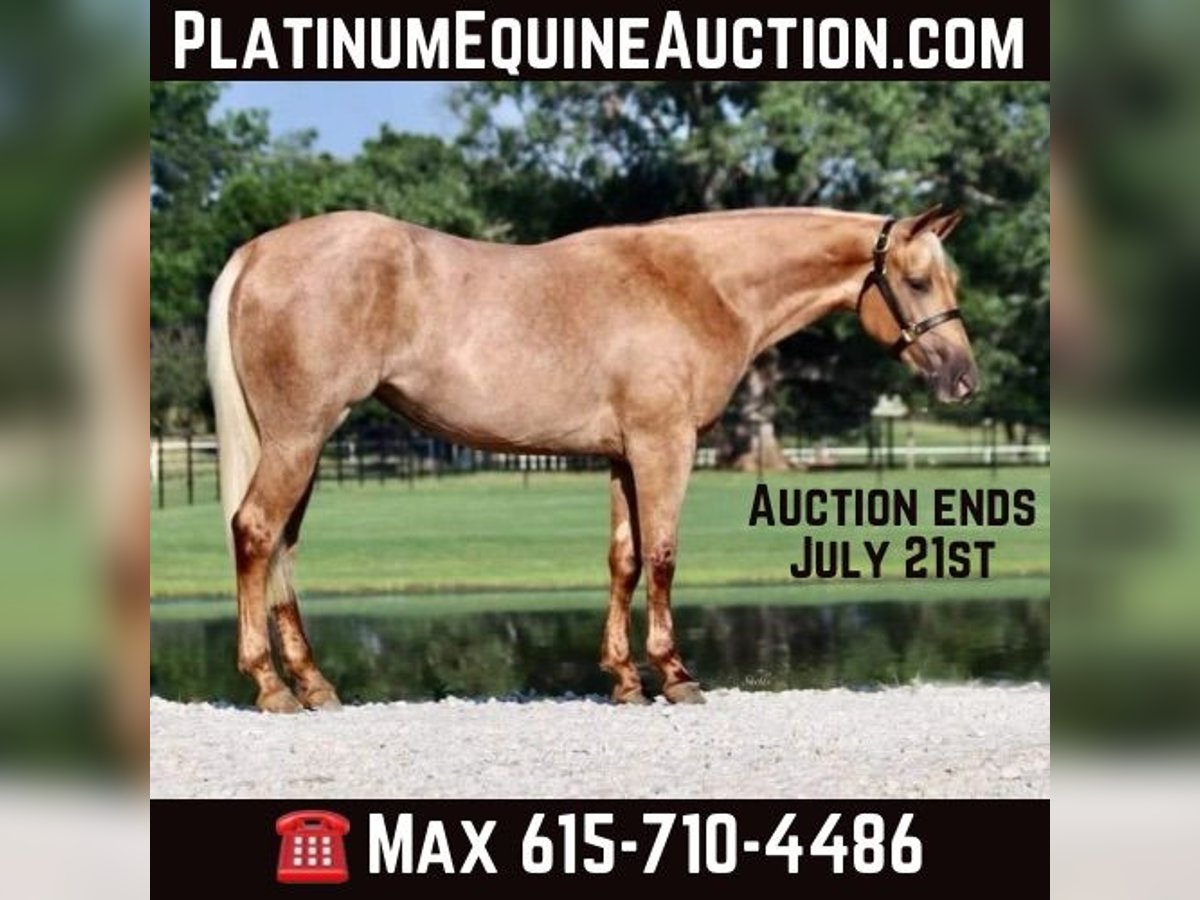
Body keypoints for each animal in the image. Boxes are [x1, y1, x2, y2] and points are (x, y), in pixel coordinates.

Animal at [207, 204, 977, 712]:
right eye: (916, 282)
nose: (963, 379)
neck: (697, 284)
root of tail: (259, 252)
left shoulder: (622, 455)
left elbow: (623, 560)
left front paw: (625, 680)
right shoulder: (665, 444)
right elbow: (662, 555)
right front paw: (675, 675)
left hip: (305, 442)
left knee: (283, 548)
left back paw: (314, 685)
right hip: (299, 437)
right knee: (256, 532)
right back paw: (270, 686)